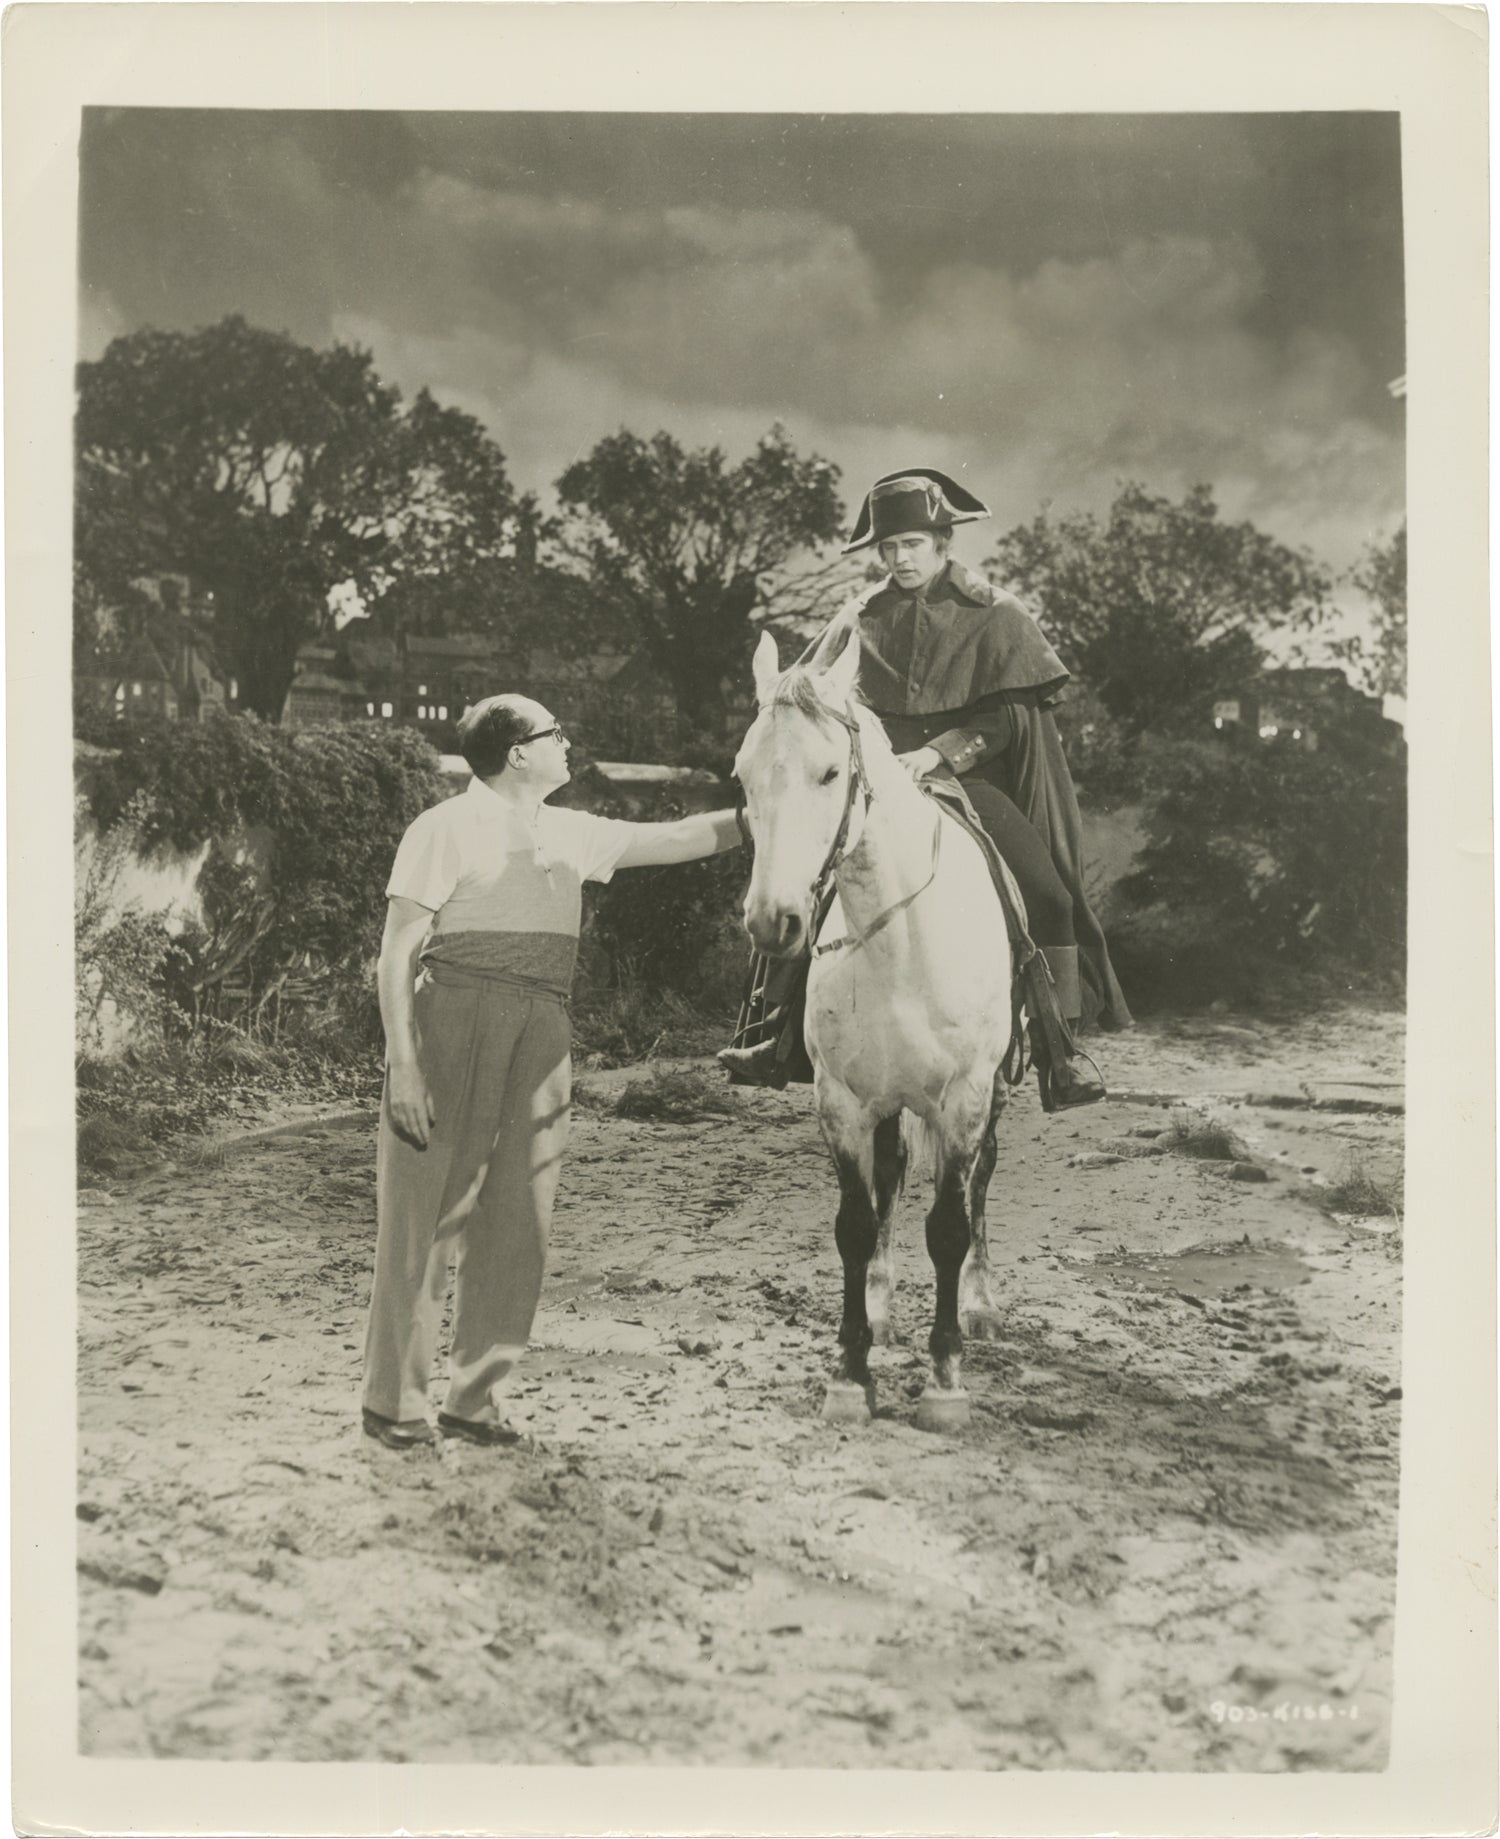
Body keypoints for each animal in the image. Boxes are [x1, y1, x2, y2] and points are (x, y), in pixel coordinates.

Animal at [735, 625, 1014, 1427]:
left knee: (981, 1181)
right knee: (890, 1178)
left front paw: (946, 1378)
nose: (772, 921)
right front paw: (850, 1371)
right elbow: (856, 1227)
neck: (900, 942)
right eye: (742, 776)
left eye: (831, 772)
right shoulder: (844, 1100)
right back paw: (885, 1310)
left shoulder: (965, 1097)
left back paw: (980, 1302)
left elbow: (949, 1226)